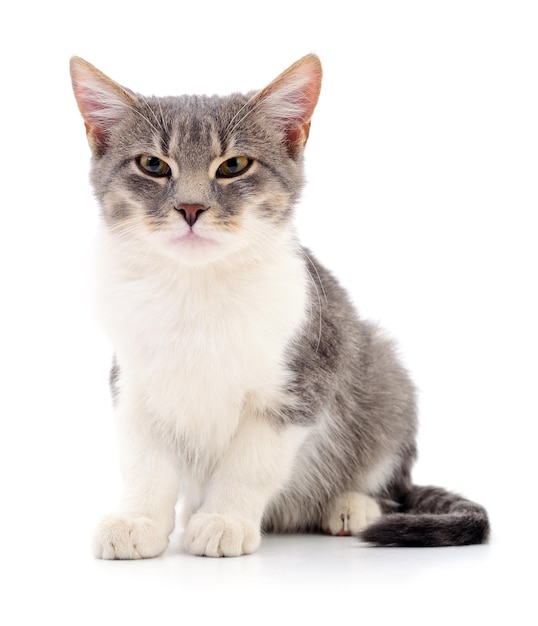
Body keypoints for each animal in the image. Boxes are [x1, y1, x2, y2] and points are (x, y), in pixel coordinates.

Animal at [69, 53, 488, 556]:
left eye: (234, 165)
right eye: (152, 164)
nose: (190, 208)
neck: (197, 288)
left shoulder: (301, 376)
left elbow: (252, 462)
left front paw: (225, 518)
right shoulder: (132, 381)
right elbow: (144, 461)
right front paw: (139, 520)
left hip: (386, 379)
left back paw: (352, 505)